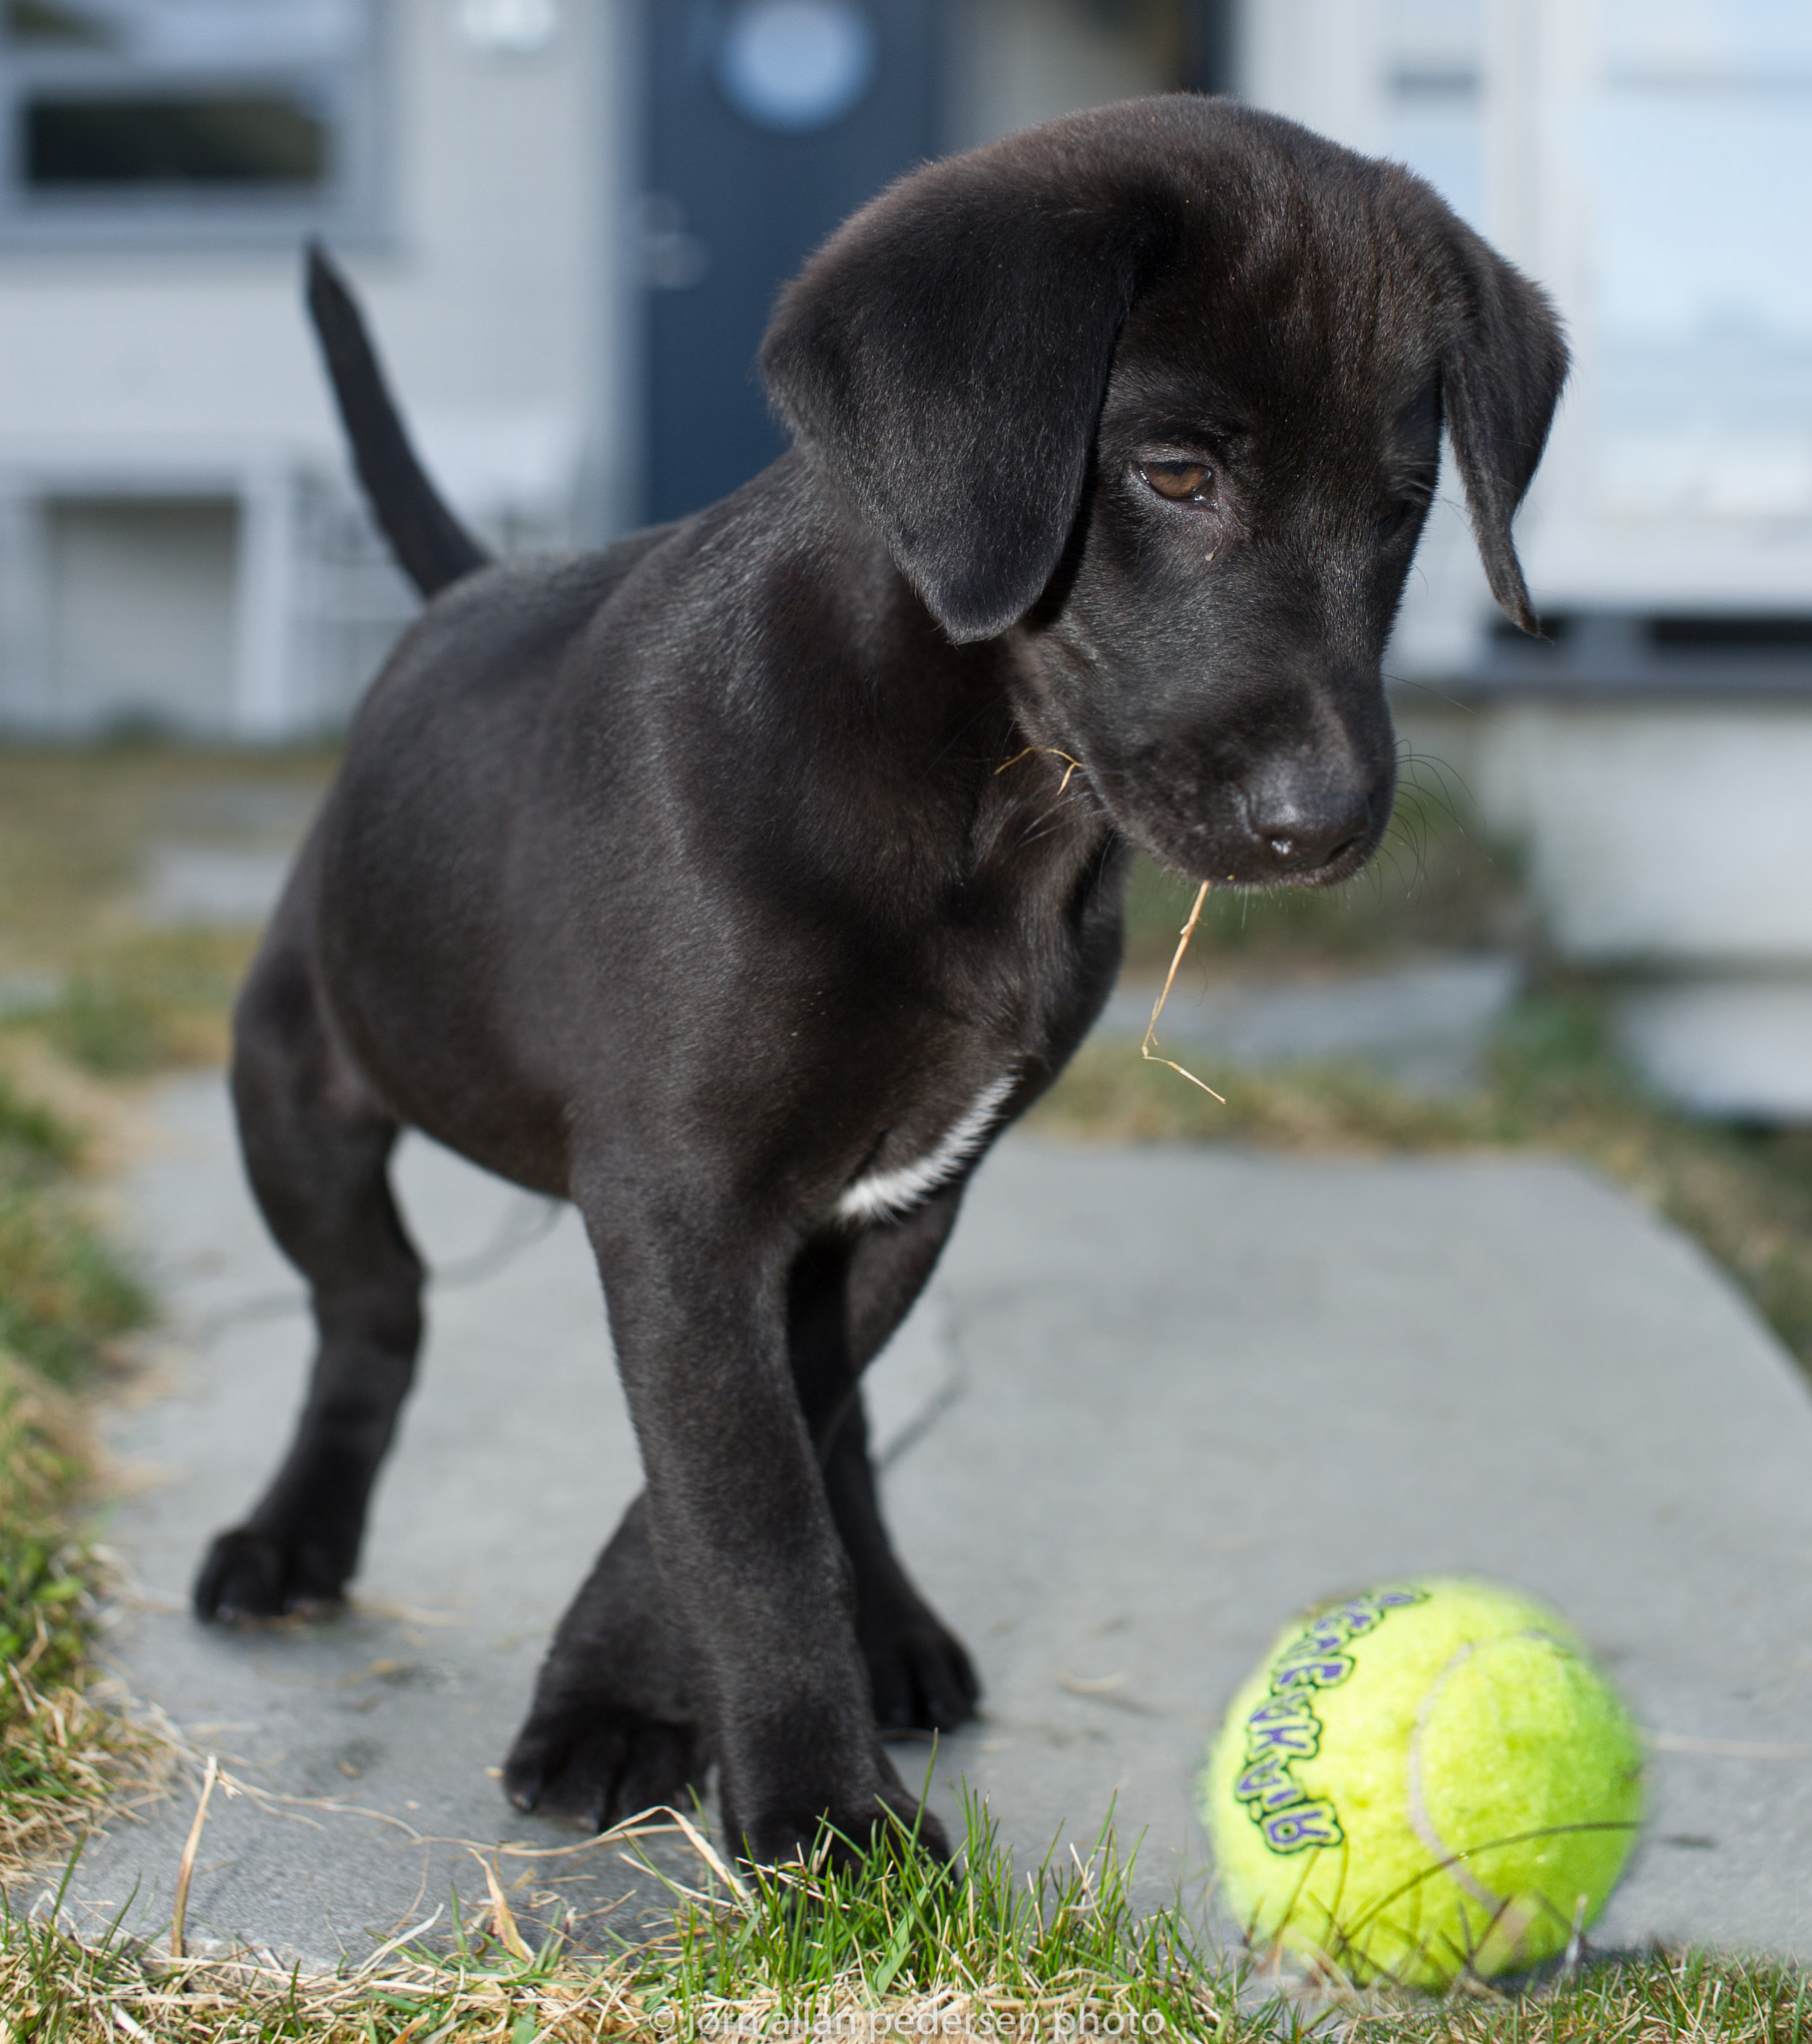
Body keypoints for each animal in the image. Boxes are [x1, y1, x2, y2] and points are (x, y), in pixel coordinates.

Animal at [195, 99, 1561, 1871]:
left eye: (1402, 507)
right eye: (1177, 474)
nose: (1322, 824)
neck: (985, 806)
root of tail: (460, 599)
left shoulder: (902, 1190)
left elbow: (768, 1464)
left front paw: (639, 1699)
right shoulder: (685, 1204)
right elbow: (745, 1505)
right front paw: (813, 1808)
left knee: (829, 1430)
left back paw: (893, 1631)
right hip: (297, 1077)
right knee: (374, 1310)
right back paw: (291, 1538)